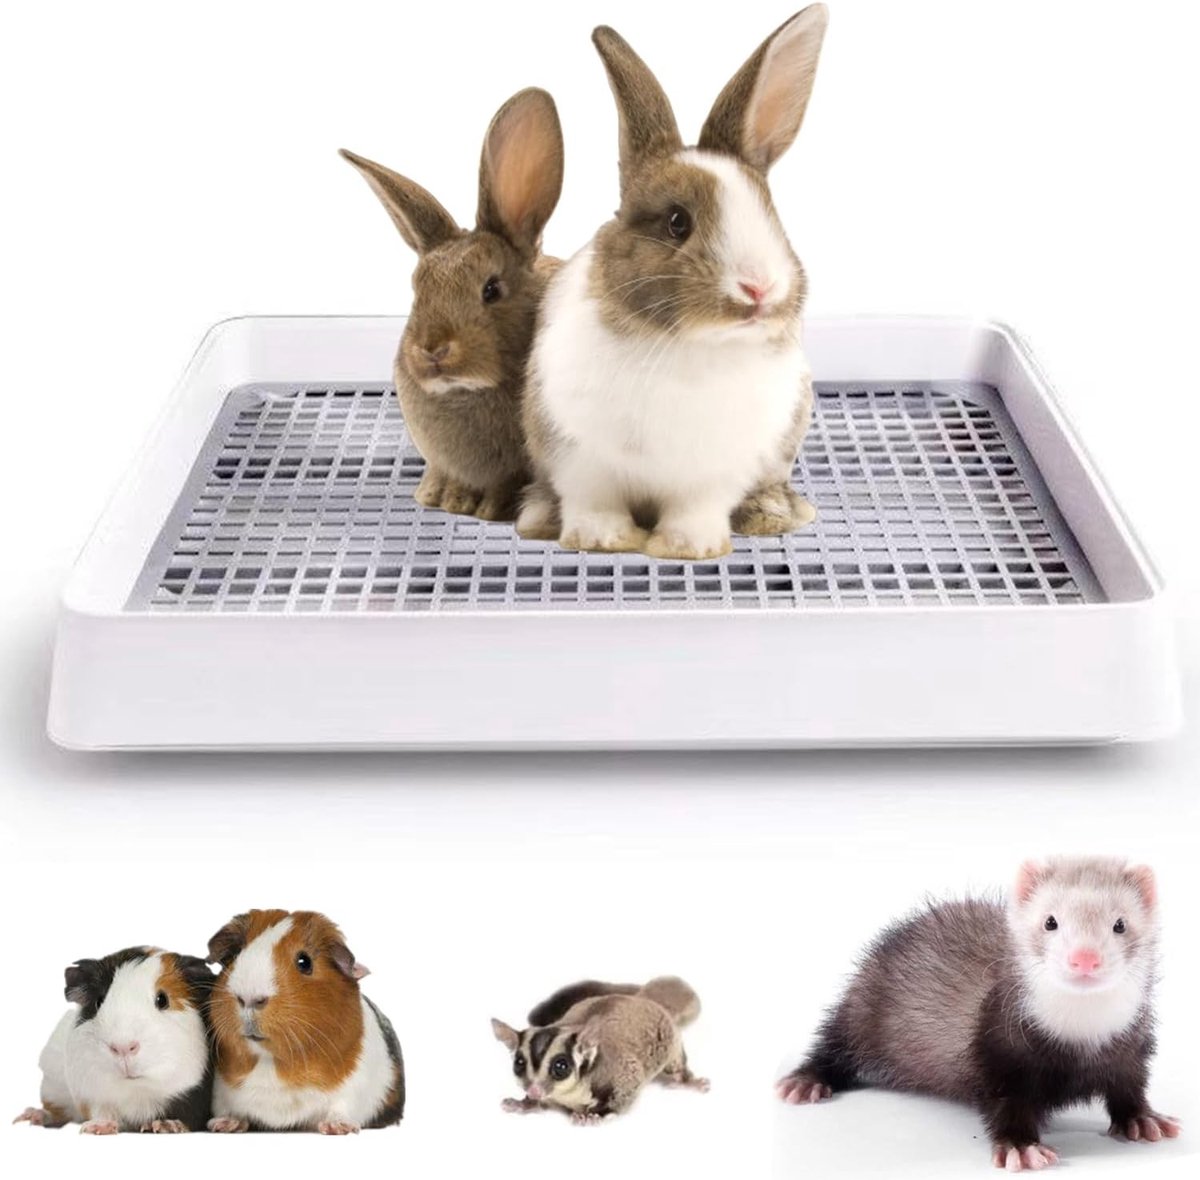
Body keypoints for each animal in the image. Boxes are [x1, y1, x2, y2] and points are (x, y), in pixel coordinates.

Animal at [14, 946, 215, 1134]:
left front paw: (165, 1126)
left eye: (162, 1000)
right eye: (99, 1002)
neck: (137, 1093)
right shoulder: (91, 1094)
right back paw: (30, 1116)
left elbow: (186, 1117)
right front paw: (96, 1128)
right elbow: (101, 1112)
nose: (123, 1047)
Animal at [205, 909, 404, 1135]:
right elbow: (228, 1109)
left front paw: (338, 1128)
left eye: (304, 962)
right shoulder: (221, 1091)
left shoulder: (355, 1086)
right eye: (236, 955)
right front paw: (223, 1124)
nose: (249, 998)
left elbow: (341, 1107)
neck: (271, 1062)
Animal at [492, 976, 708, 1124]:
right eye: (519, 1064)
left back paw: (687, 1081)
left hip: (671, 1041)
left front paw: (596, 1114)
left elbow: (628, 1087)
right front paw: (524, 1103)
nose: (534, 1090)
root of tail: (644, 998)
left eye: (561, 1066)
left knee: (676, 1063)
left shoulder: (621, 1072)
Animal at [777, 858, 1181, 1171]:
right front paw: (1021, 1147)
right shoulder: (1000, 1049)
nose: (1084, 957)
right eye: (1050, 921)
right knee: (834, 1042)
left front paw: (1143, 1119)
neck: (1081, 1035)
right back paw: (806, 1081)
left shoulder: (1130, 1047)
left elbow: (1129, 1087)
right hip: (861, 1009)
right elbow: (1005, 1104)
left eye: (1120, 924)